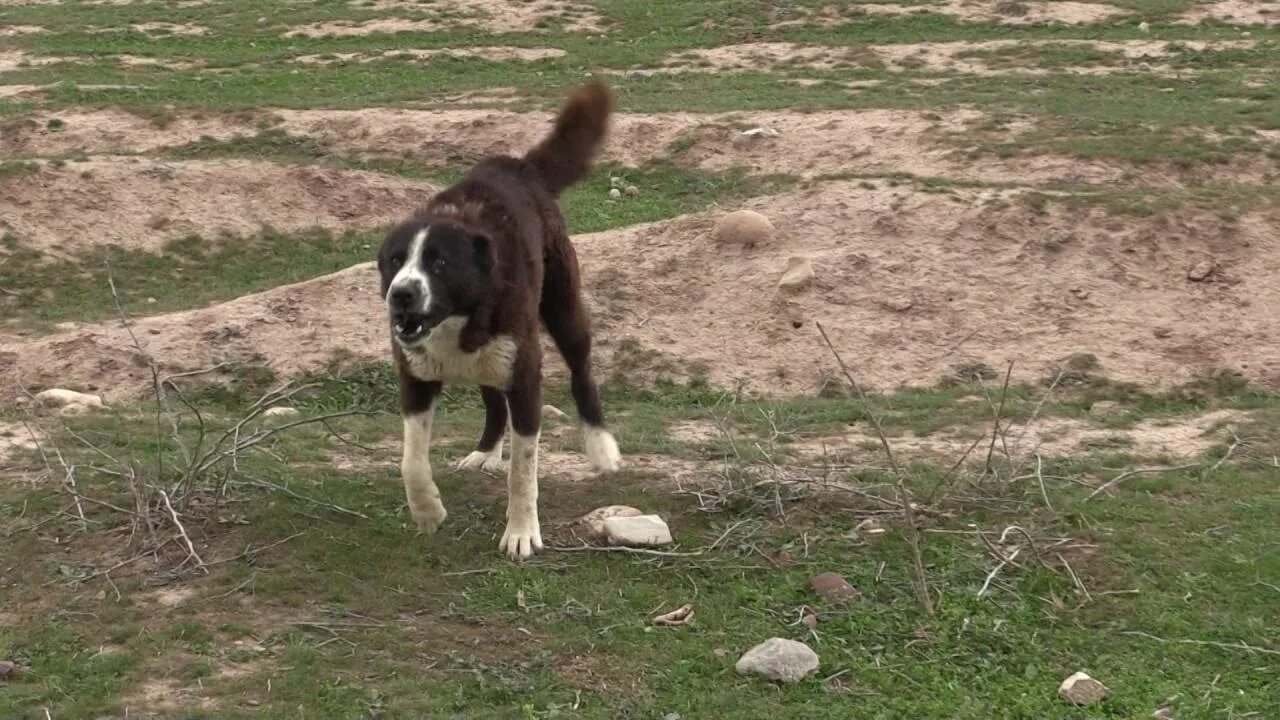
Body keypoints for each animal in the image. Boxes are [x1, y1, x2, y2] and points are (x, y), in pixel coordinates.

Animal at [376, 79, 622, 561]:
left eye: (438, 263)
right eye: (395, 261)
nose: (401, 295)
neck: (458, 318)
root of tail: (521, 167)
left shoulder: (525, 378)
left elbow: (523, 474)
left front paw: (521, 532)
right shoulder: (415, 380)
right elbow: (411, 460)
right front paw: (428, 511)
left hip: (563, 314)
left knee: (582, 372)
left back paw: (601, 446)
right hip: (491, 361)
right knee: (492, 402)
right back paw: (486, 452)